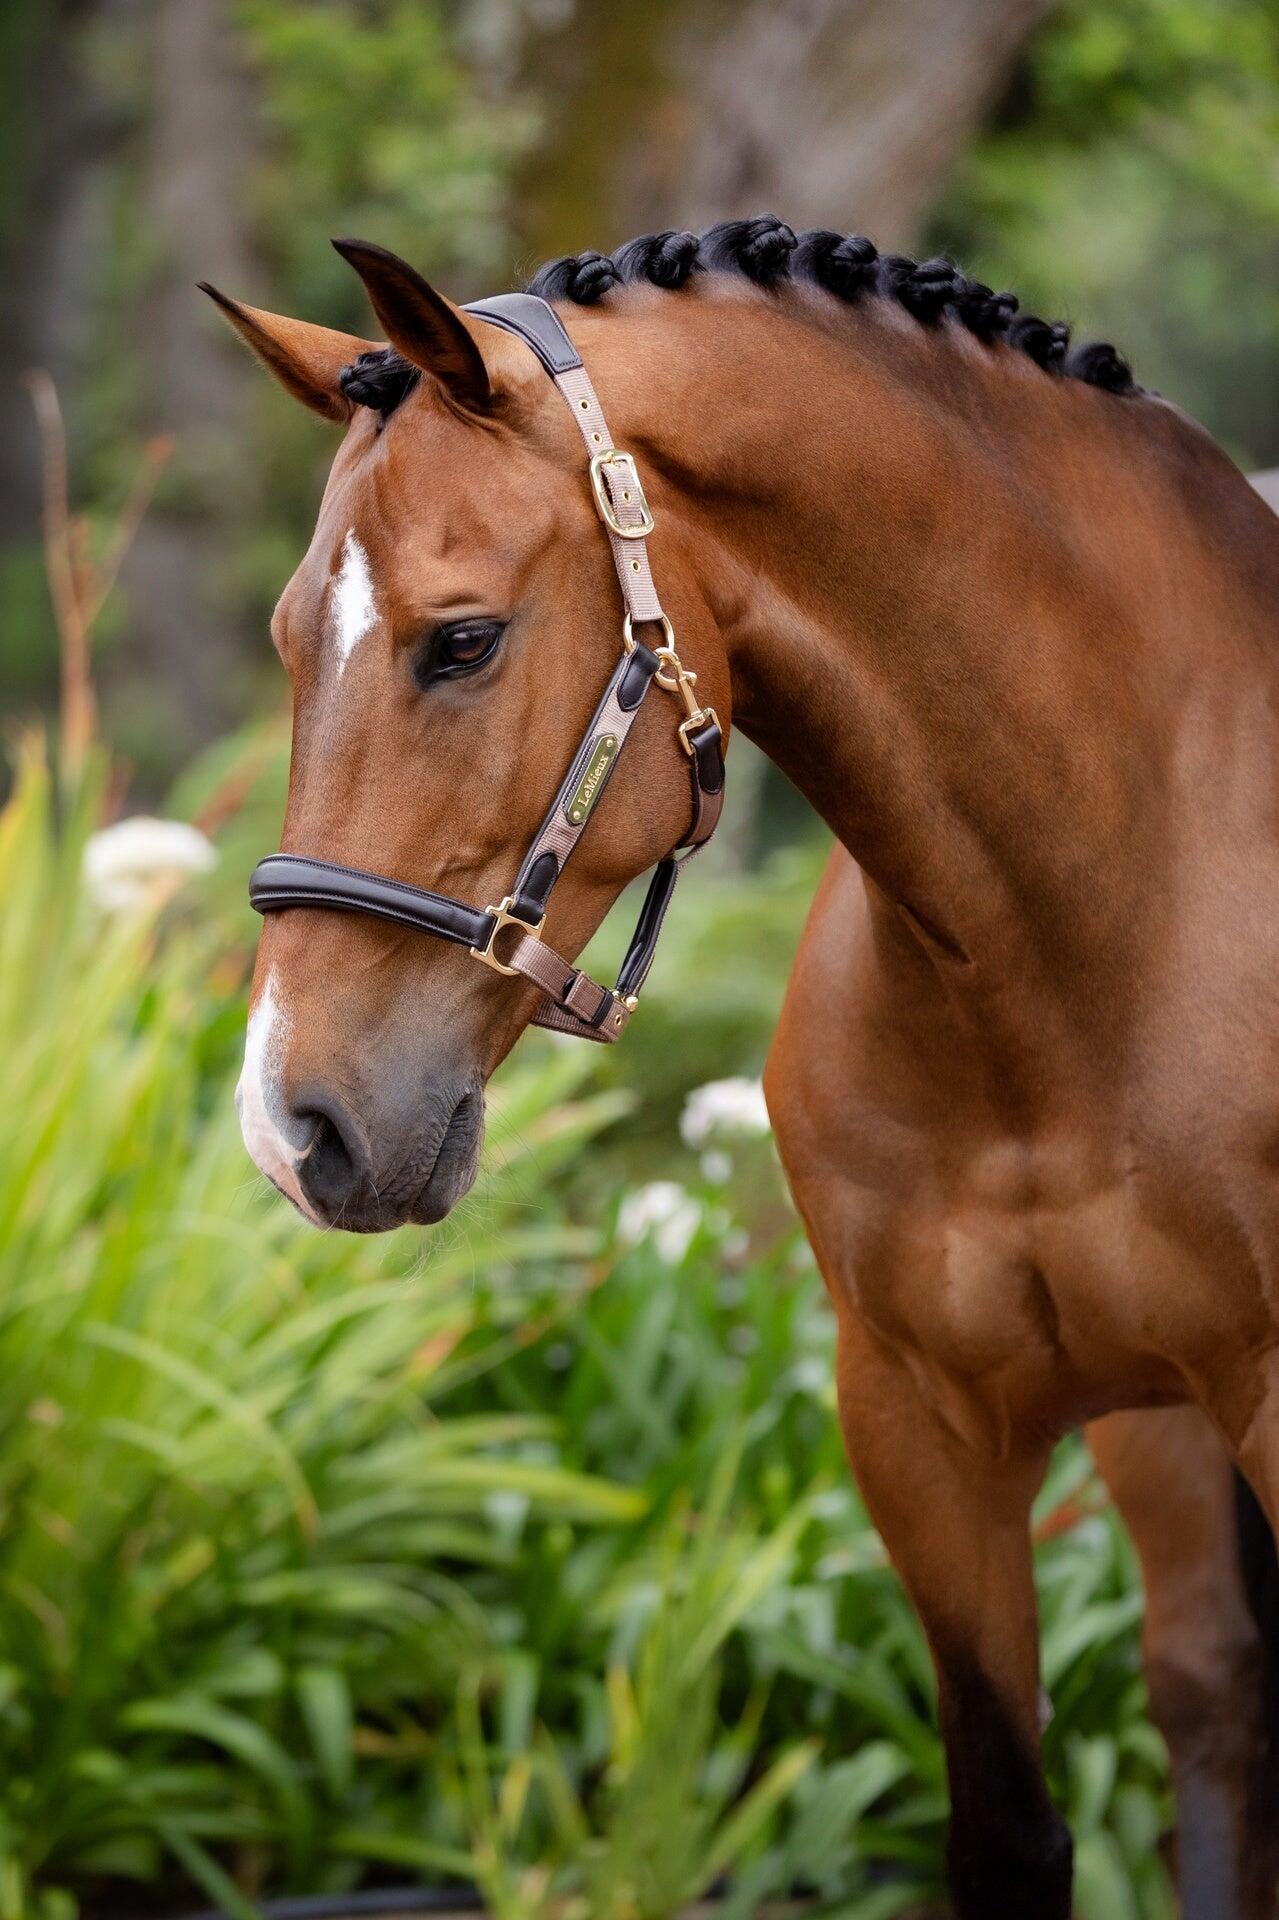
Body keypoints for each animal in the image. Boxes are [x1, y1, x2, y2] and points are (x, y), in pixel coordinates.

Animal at [204, 215, 1279, 1920]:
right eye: (289, 641)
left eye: (462, 639)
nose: (291, 1123)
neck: (1100, 920)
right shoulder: (918, 1430)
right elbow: (1006, 1826)